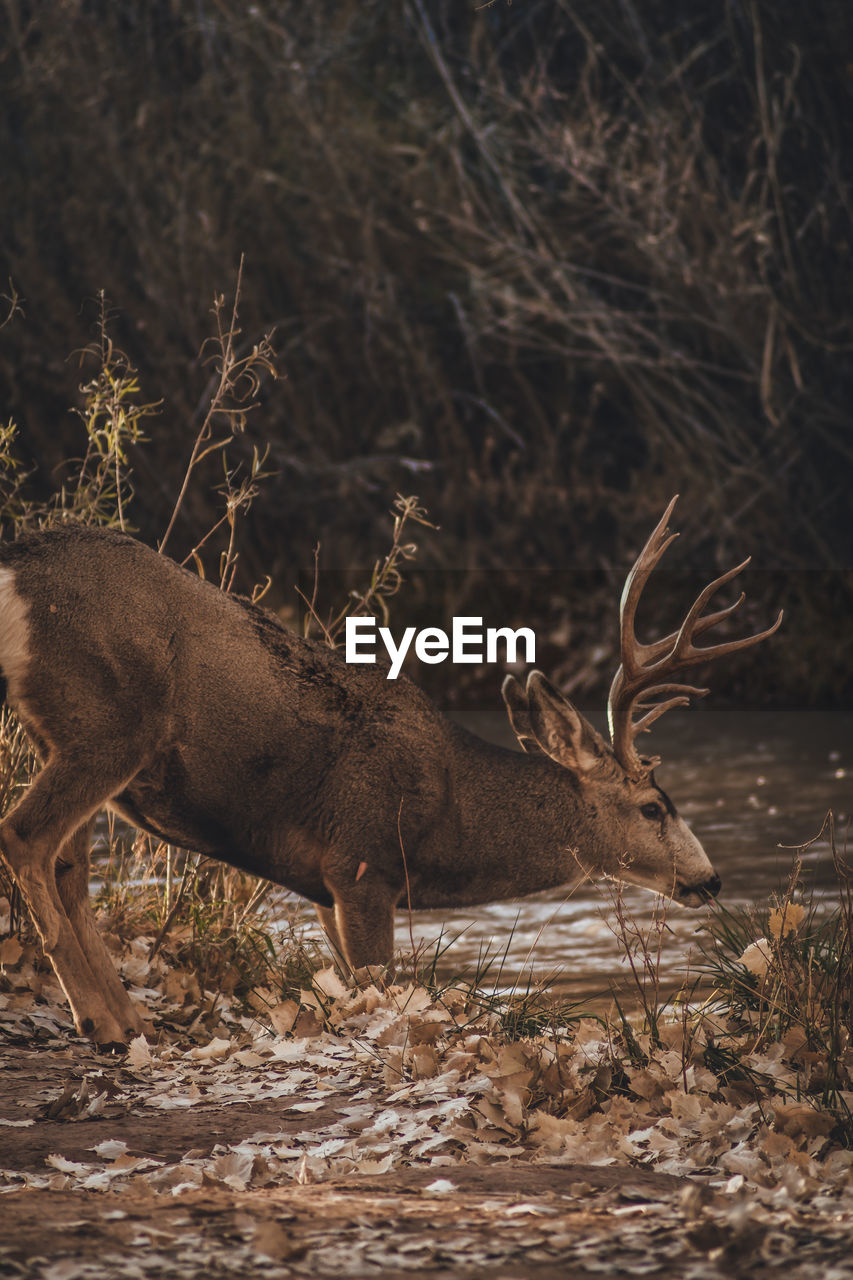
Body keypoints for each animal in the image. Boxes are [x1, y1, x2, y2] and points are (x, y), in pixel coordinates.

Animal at [0, 494, 778, 1044]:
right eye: (654, 807)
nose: (710, 879)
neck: (452, 814)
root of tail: (17, 566)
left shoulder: (323, 886)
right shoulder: (363, 860)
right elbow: (379, 985)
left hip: (68, 735)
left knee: (68, 863)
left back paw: (127, 1020)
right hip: (109, 722)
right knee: (26, 836)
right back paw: (97, 1021)